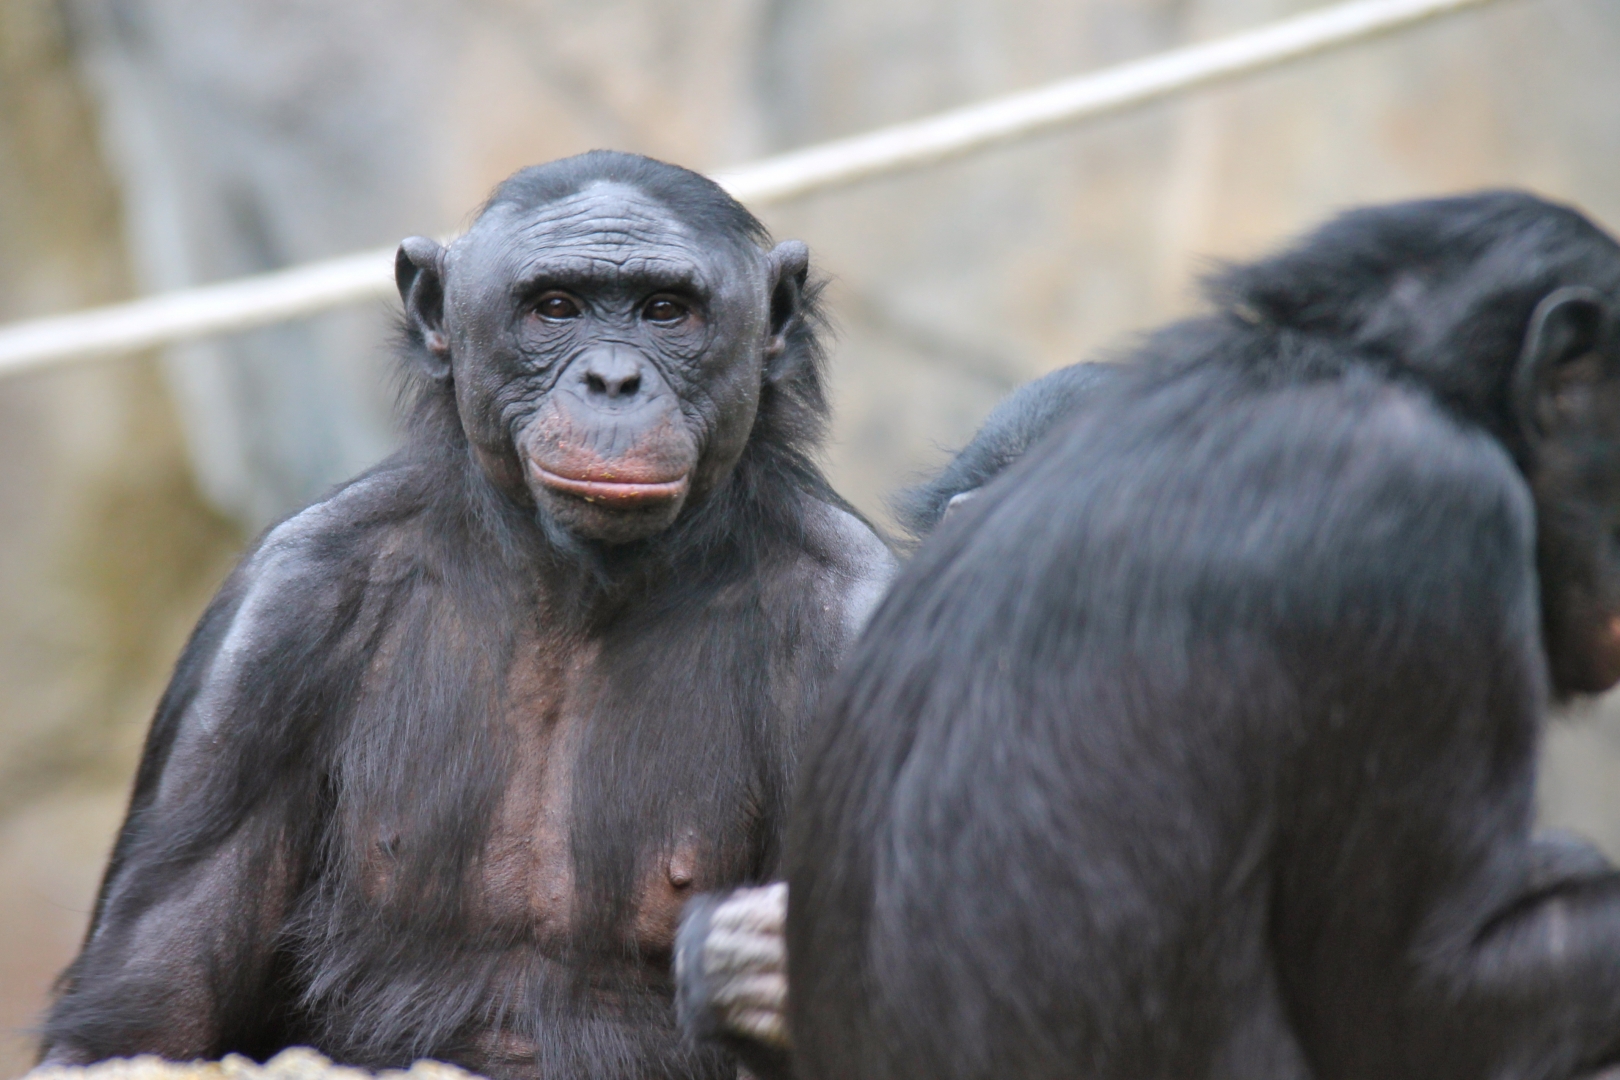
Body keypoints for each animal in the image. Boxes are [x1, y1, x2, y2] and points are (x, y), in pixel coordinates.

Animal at [41, 149, 900, 1080]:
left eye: (667, 311)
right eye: (555, 307)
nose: (613, 380)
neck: (573, 586)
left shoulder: (858, 619)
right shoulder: (267, 631)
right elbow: (146, 1015)